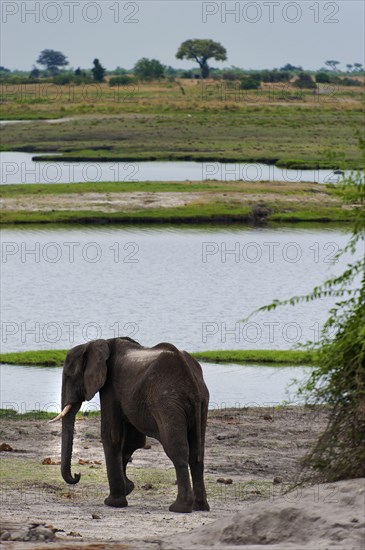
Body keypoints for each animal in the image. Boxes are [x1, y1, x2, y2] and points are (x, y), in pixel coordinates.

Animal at [50, 338, 210, 516]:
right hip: (201, 403)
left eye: (69, 376)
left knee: (177, 450)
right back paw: (200, 507)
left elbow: (111, 435)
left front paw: (113, 503)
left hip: (168, 402)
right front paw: (128, 488)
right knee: (196, 454)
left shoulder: (110, 386)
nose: (77, 474)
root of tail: (192, 381)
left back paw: (180, 508)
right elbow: (132, 442)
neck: (98, 343)